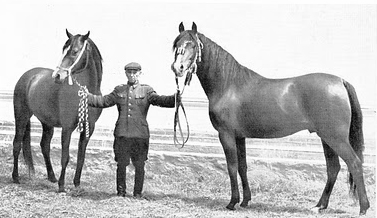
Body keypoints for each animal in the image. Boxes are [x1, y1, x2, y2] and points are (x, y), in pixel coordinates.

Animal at [12, 29, 103, 192]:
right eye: (63, 50)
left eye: (75, 51)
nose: (58, 76)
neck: (86, 93)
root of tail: (28, 76)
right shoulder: (67, 128)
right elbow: (65, 157)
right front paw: (62, 186)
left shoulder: (89, 128)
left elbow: (81, 157)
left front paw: (76, 183)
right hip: (21, 117)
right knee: (17, 144)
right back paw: (16, 177)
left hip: (47, 123)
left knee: (44, 146)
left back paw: (52, 177)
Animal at [171, 21, 370, 215]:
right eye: (176, 44)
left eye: (193, 45)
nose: (177, 68)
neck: (228, 85)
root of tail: (340, 81)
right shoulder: (239, 136)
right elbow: (242, 167)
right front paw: (245, 201)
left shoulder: (226, 134)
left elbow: (232, 167)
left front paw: (232, 202)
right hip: (326, 138)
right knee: (333, 168)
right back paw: (319, 206)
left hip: (335, 138)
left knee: (354, 163)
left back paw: (363, 208)